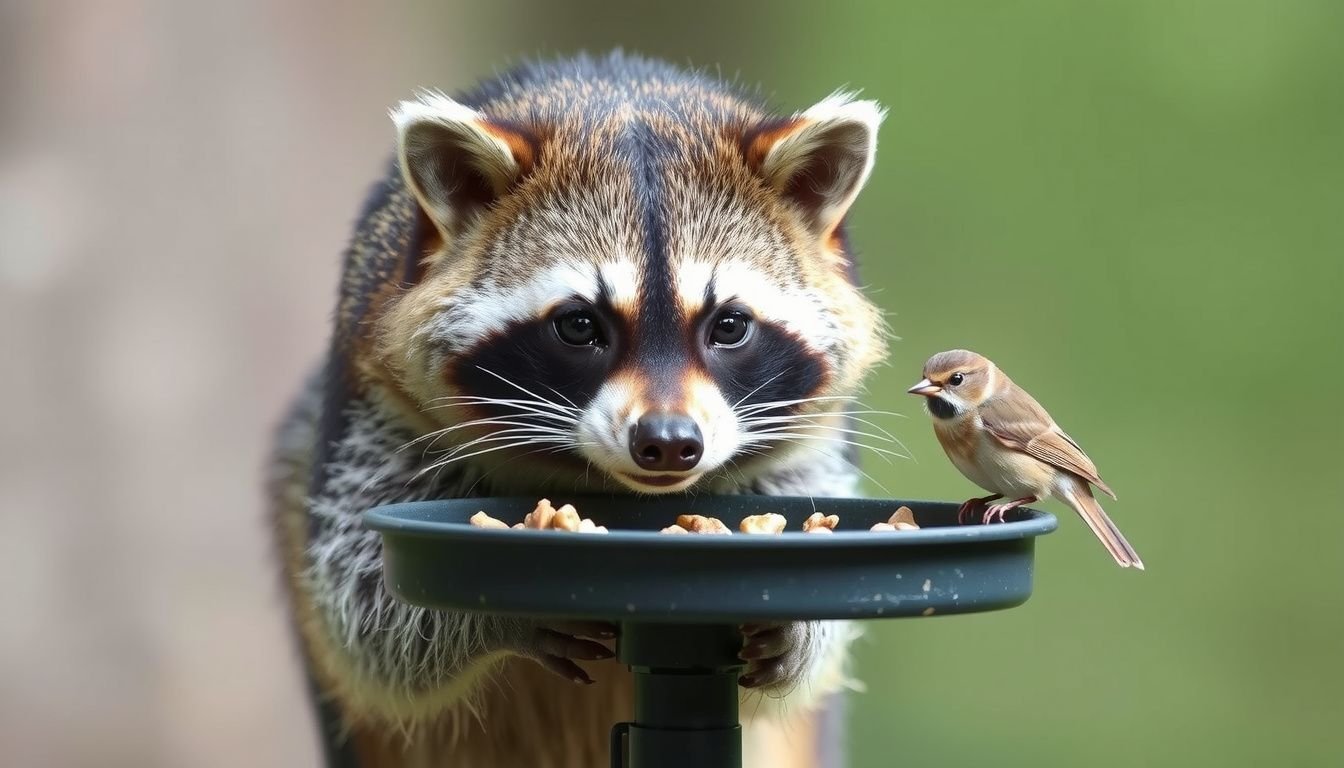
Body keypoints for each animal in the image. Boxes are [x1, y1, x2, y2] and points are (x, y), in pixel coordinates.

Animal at [269, 52, 889, 767]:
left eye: (730, 326)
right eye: (579, 326)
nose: (668, 442)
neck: (617, 98)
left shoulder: (814, 435)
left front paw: (803, 630)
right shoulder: (374, 403)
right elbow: (362, 604)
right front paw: (498, 613)